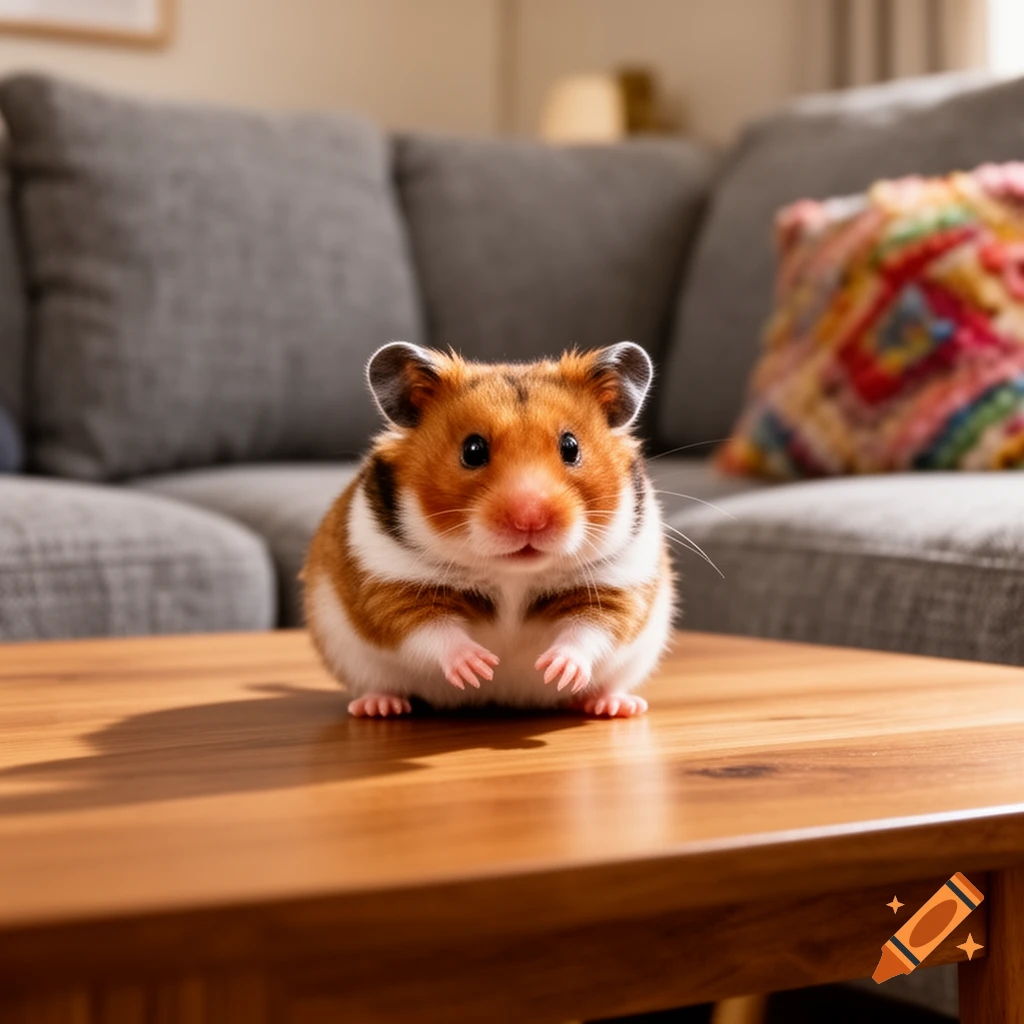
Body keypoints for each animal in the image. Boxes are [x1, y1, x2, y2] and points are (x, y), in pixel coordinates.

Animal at [302, 341, 675, 718]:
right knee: (382, 684)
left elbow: (590, 631)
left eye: (571, 447)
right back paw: (379, 707)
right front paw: (480, 667)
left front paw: (554, 668)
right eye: (473, 450)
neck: (512, 574)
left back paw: (615, 705)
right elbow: (431, 631)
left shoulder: (616, 584)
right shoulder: (391, 585)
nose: (529, 520)